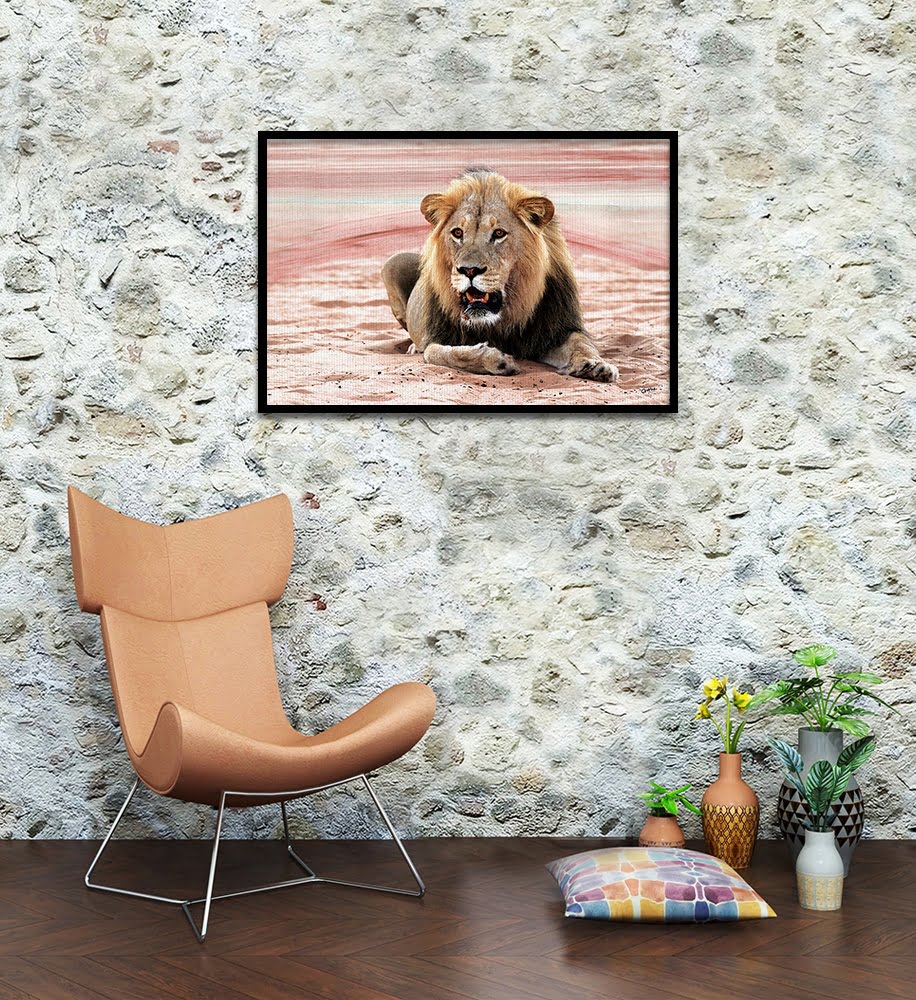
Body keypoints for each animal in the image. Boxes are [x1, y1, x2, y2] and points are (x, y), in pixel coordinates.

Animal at [381, 168, 619, 382]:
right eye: (457, 233)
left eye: (498, 233)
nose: (469, 270)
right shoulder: (437, 336)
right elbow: (439, 353)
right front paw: (494, 360)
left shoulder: (554, 330)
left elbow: (581, 343)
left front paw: (596, 365)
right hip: (391, 263)